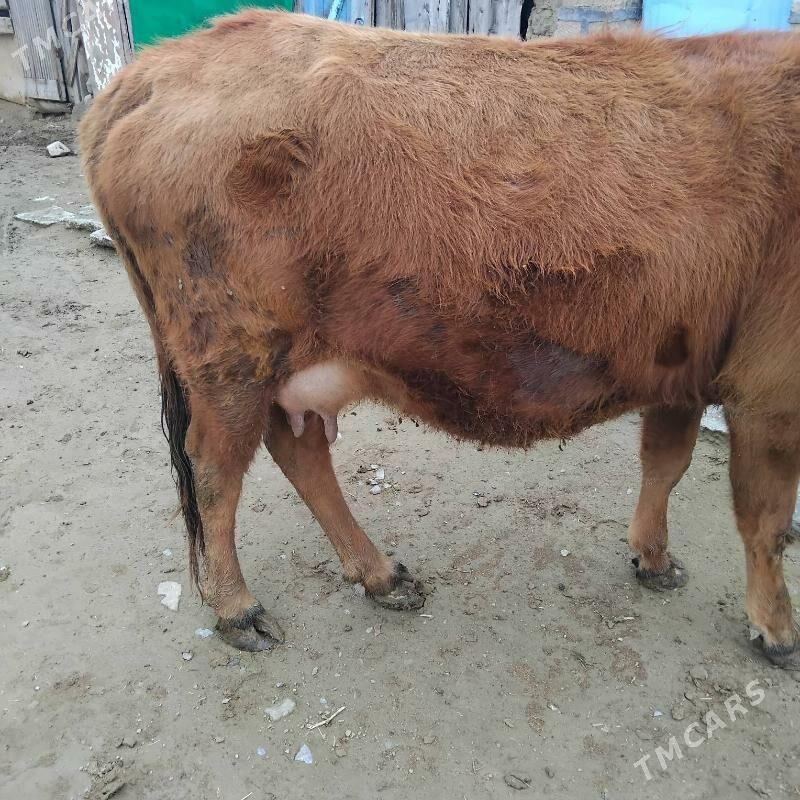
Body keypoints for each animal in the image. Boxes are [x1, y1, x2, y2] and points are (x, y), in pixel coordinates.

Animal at [80, 11, 800, 667]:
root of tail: (152, 68)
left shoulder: (687, 365)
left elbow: (666, 462)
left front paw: (653, 558)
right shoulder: (769, 388)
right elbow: (764, 517)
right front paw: (776, 628)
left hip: (282, 365)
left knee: (296, 452)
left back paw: (379, 576)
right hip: (231, 355)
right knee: (213, 470)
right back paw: (237, 608)